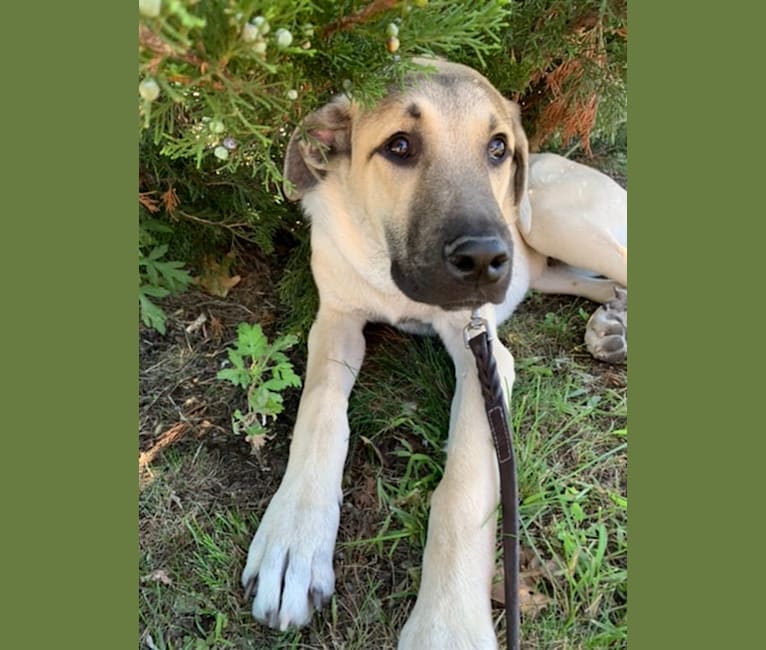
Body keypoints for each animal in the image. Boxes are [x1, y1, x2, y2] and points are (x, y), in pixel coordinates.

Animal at [242, 58, 632, 644]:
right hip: (544, 260)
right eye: (400, 145)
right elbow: (320, 413)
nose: (485, 260)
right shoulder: (336, 319)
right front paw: (294, 538)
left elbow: (462, 488)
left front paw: (446, 626)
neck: (388, 268)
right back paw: (614, 327)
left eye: (497, 148)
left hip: (552, 216)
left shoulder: (482, 355)